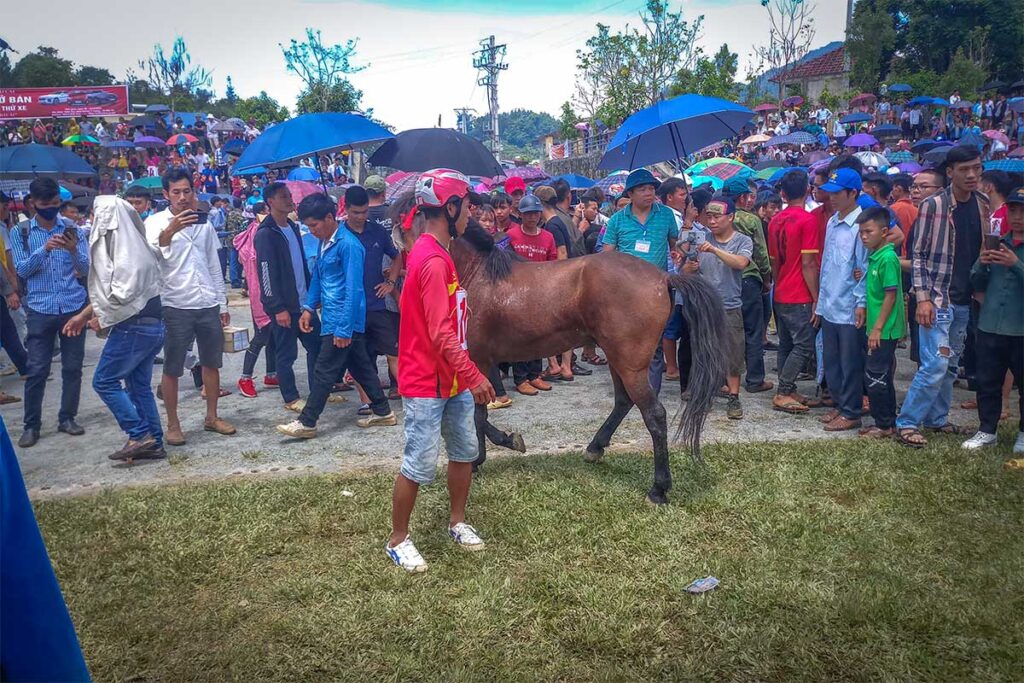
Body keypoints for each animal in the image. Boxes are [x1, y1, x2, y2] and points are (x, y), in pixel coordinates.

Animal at [452, 224, 729, 505]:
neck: (479, 276)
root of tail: (663, 277)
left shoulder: (478, 360)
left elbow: (477, 415)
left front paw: (483, 456)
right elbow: (479, 414)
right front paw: (498, 446)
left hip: (630, 367)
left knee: (654, 414)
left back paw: (658, 488)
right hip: (618, 360)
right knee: (623, 401)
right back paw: (595, 448)